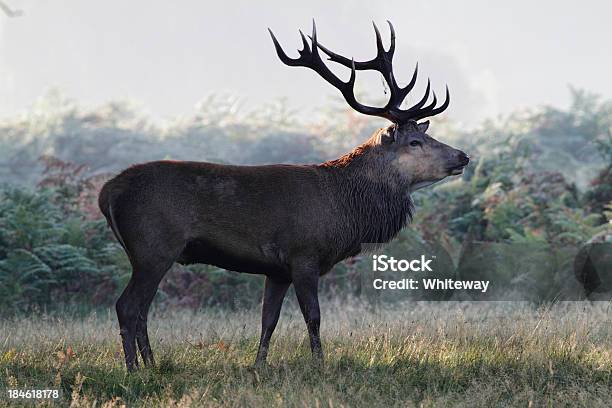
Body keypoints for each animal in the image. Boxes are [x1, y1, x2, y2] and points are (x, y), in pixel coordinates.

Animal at [98, 19, 468, 370]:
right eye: (414, 142)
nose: (462, 156)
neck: (345, 209)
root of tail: (107, 193)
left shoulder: (275, 269)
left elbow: (268, 321)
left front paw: (258, 365)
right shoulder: (303, 253)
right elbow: (313, 316)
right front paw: (320, 365)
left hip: (147, 252)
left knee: (141, 310)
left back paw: (151, 363)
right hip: (154, 246)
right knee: (127, 306)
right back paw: (134, 369)